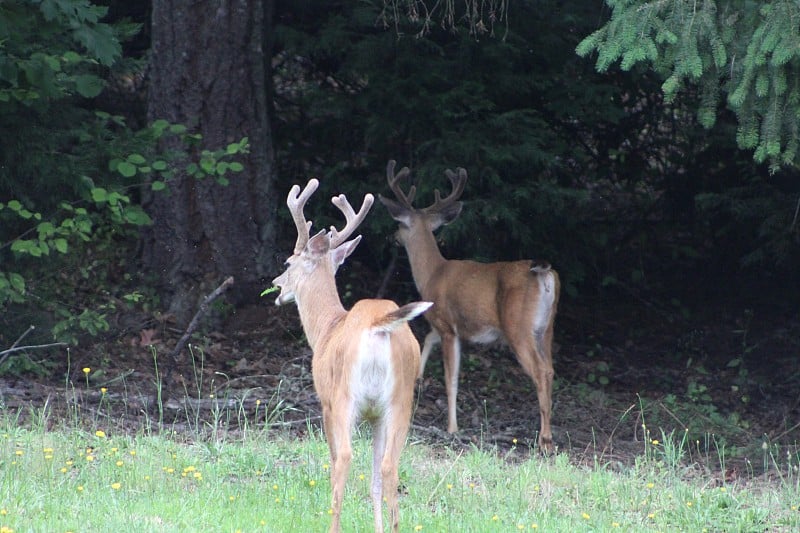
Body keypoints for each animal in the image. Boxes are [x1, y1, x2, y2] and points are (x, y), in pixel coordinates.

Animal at [270, 179, 434, 532]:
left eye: (288, 263)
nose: (276, 285)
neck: (327, 328)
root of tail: (377, 325)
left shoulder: (326, 402)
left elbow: (334, 461)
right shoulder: (376, 416)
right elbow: (374, 480)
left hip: (347, 395)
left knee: (344, 458)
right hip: (400, 399)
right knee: (389, 466)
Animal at [378, 159, 560, 454]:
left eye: (401, 225)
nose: (392, 236)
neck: (433, 273)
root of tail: (544, 273)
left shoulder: (447, 324)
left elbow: (451, 378)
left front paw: (452, 427)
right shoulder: (447, 326)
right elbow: (427, 339)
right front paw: (417, 378)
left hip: (518, 327)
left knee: (541, 371)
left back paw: (545, 440)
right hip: (547, 328)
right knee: (552, 369)